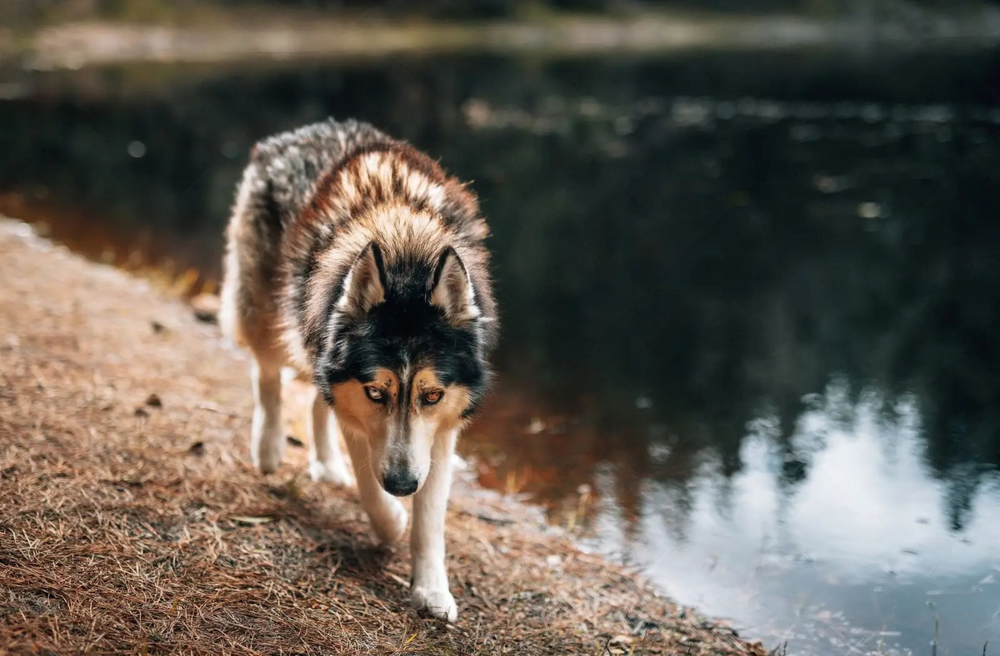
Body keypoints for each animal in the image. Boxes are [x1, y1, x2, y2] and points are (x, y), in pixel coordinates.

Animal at [220, 119, 500, 620]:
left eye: (431, 395)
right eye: (376, 393)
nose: (403, 485)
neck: (406, 247)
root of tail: (297, 133)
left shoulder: (441, 431)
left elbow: (430, 523)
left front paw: (431, 590)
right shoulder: (359, 412)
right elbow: (372, 491)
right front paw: (392, 521)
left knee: (316, 398)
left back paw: (326, 465)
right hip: (266, 311)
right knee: (268, 375)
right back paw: (268, 449)